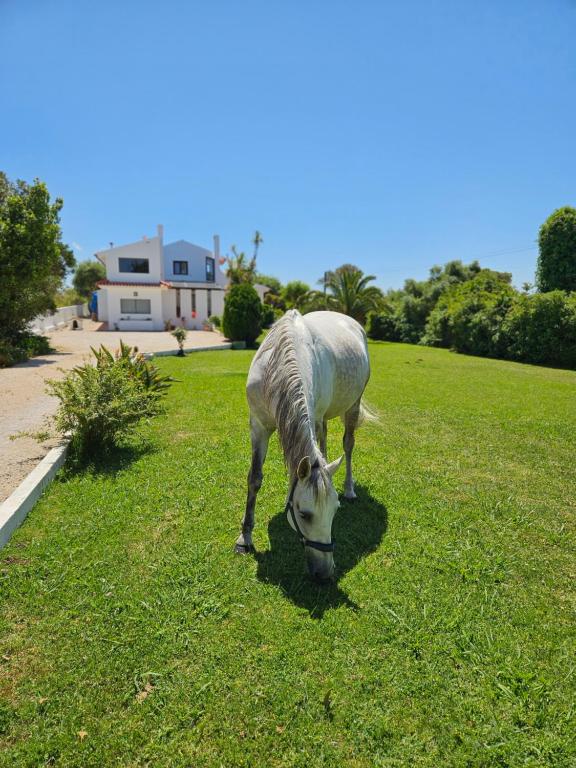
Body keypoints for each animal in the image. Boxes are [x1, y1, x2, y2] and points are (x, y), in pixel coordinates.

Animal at [235, 309, 372, 582]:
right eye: (304, 514)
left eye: (335, 511)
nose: (325, 573)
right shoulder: (258, 426)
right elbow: (254, 478)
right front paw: (245, 538)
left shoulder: (312, 415)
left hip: (351, 405)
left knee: (348, 445)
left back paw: (350, 489)